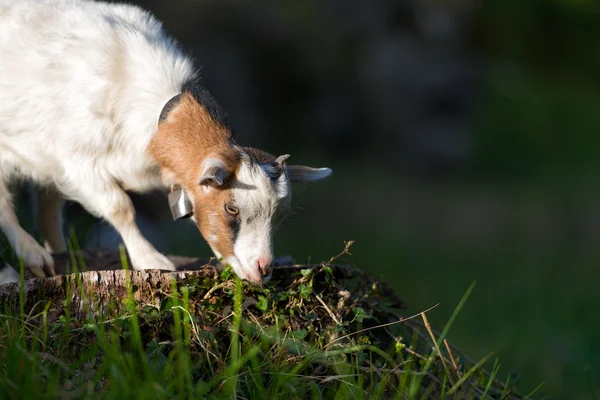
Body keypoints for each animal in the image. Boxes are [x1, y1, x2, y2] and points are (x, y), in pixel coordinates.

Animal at [0, 0, 330, 288]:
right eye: (232, 208)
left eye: (280, 215)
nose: (263, 269)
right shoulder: (79, 161)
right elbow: (120, 207)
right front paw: (151, 259)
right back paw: (30, 256)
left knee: (46, 212)